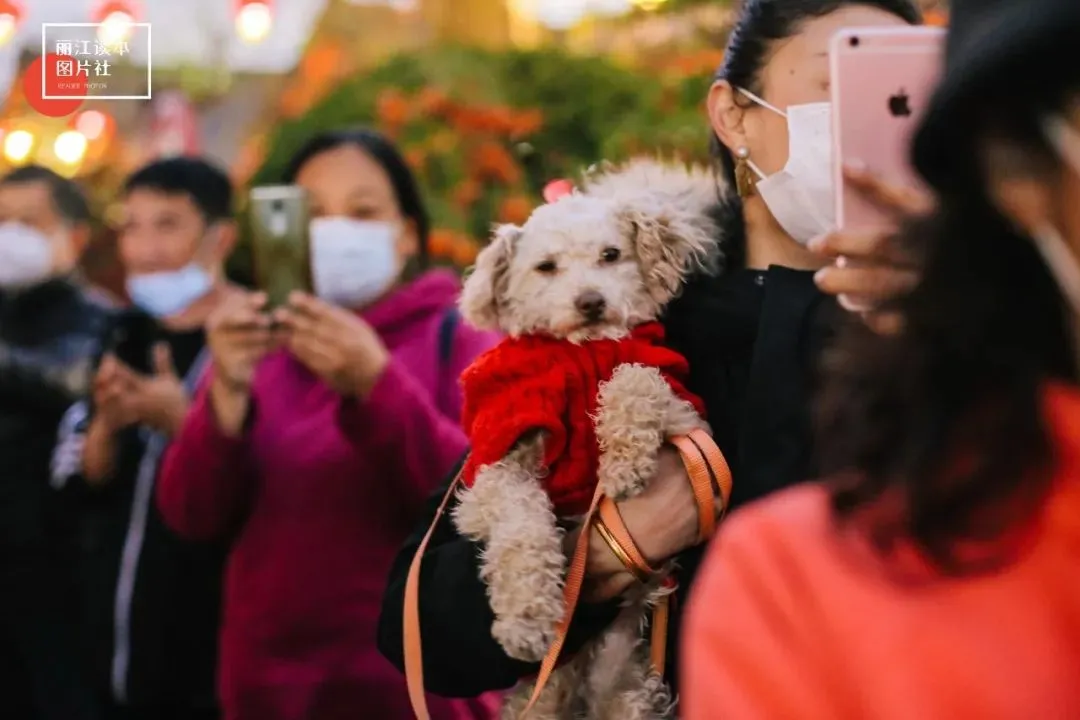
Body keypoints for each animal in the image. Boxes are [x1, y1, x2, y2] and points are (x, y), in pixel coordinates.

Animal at [451, 160, 721, 716]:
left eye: (611, 255)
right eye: (546, 267)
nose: (591, 302)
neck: (582, 352)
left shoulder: (687, 414)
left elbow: (634, 378)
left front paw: (625, 462)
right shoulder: (492, 468)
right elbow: (519, 527)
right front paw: (525, 619)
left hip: (631, 687)